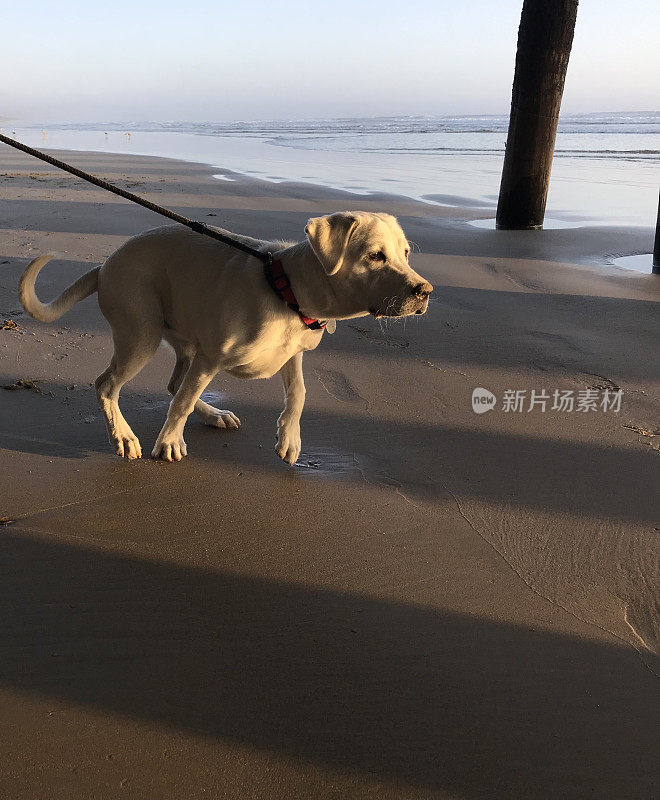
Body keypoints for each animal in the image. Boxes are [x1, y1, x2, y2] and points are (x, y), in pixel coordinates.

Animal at [18, 209, 434, 466]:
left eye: (406, 253)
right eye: (375, 256)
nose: (425, 291)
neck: (287, 291)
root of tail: (104, 266)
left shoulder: (292, 353)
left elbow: (299, 393)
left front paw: (289, 439)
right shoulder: (211, 356)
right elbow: (183, 402)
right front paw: (169, 442)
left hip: (184, 337)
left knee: (174, 383)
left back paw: (214, 415)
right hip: (142, 335)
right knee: (110, 385)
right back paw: (123, 435)